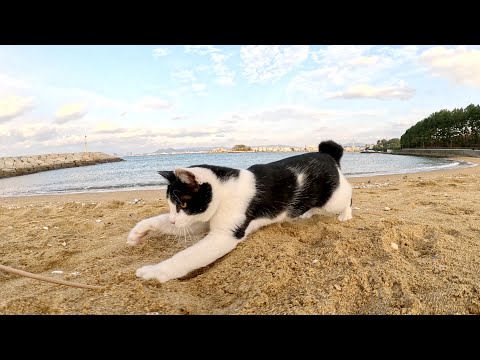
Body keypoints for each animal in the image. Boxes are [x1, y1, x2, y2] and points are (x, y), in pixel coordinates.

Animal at [127, 141, 352, 284]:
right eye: (170, 206)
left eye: (182, 205)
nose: (174, 220)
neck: (224, 191)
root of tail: (327, 154)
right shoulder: (202, 220)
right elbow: (161, 221)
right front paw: (139, 231)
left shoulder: (223, 235)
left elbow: (185, 257)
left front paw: (155, 271)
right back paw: (308, 213)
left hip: (333, 199)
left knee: (348, 193)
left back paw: (346, 214)